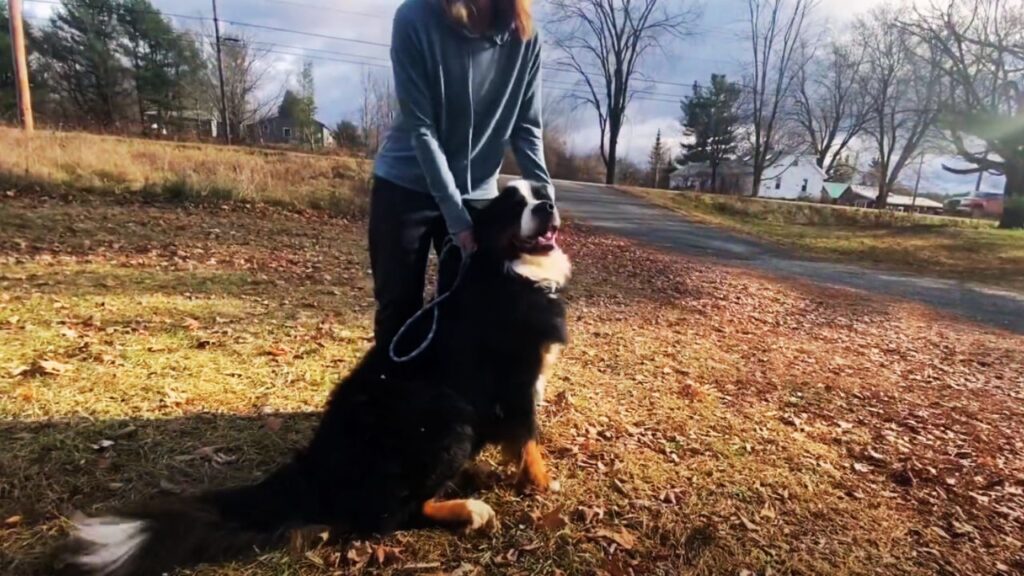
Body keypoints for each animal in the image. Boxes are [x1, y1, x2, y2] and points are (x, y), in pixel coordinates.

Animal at [59, 180, 573, 573]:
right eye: (514, 205)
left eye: (541, 193)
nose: (548, 205)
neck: (509, 271)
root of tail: (317, 463)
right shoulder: (517, 383)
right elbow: (529, 439)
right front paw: (543, 482)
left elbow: (520, 440)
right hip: (448, 419)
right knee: (392, 514)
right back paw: (469, 509)